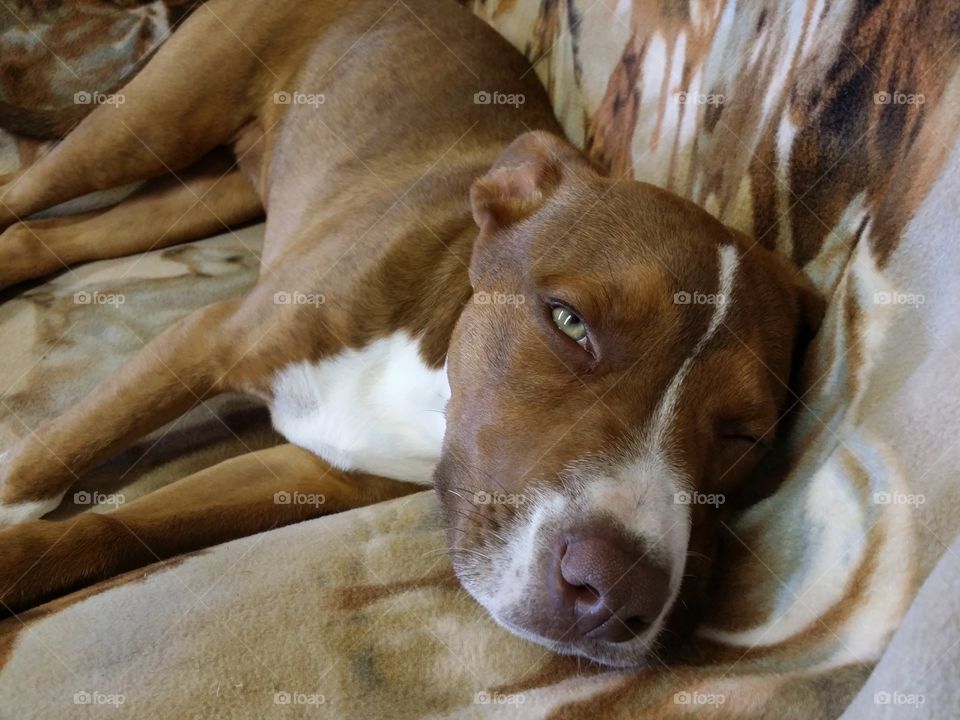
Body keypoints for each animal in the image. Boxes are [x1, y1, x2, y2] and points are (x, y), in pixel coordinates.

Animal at [0, 0, 824, 668]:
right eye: (568, 321)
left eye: (745, 436)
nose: (617, 592)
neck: (434, 380)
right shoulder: (203, 340)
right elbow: (50, 454)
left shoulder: (313, 473)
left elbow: (117, 527)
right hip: (138, 128)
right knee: (27, 193)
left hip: (204, 190)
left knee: (42, 240)